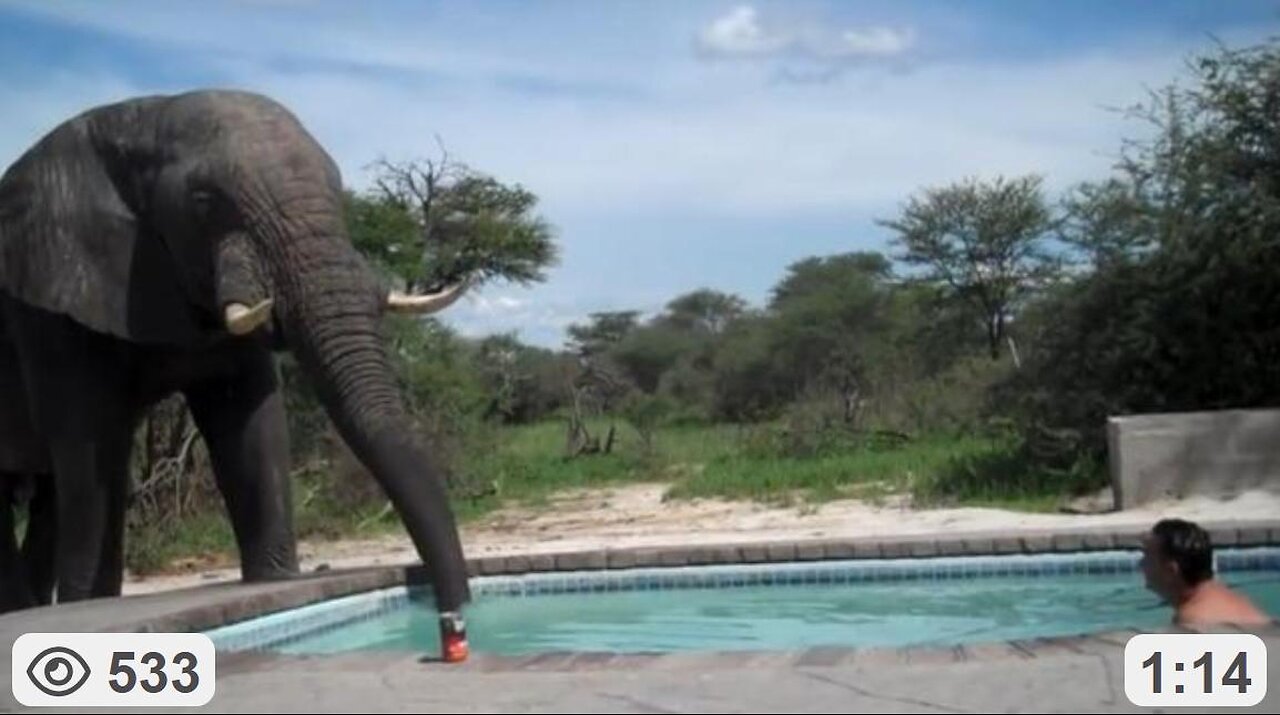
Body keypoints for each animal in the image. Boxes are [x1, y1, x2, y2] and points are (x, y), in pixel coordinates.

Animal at [0, 89, 474, 617]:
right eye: (204, 201)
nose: (453, 615)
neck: (142, 117)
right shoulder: (47, 297)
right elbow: (92, 439)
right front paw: (87, 607)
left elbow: (247, 417)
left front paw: (275, 579)